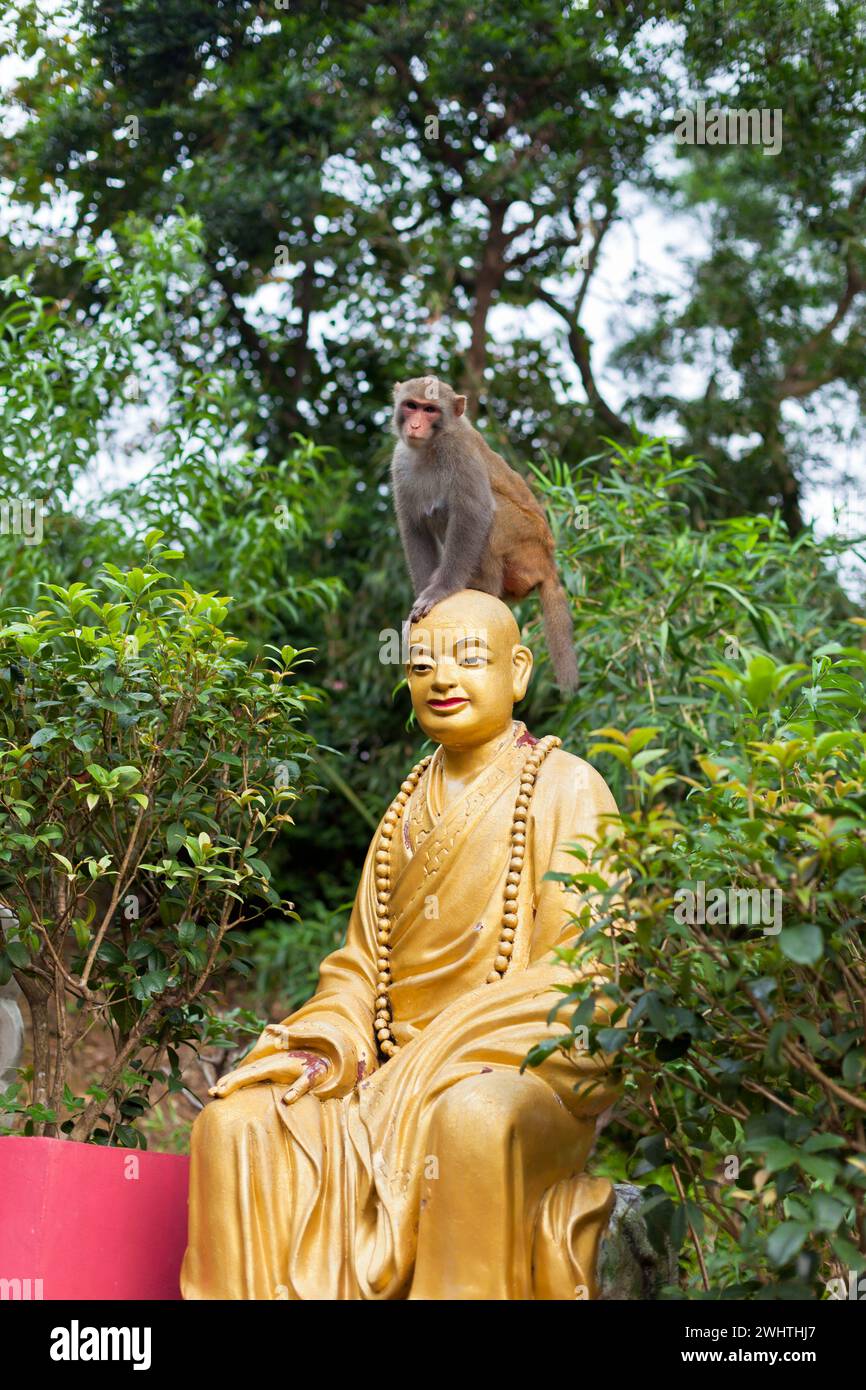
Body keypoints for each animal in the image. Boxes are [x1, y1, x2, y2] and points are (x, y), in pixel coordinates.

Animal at [389, 375, 578, 689]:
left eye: (430, 410)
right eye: (411, 405)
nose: (415, 426)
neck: (430, 447)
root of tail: (549, 562)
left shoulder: (460, 452)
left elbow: (474, 512)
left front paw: (439, 591)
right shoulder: (400, 462)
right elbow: (414, 529)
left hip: (527, 544)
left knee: (492, 513)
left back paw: (484, 587)